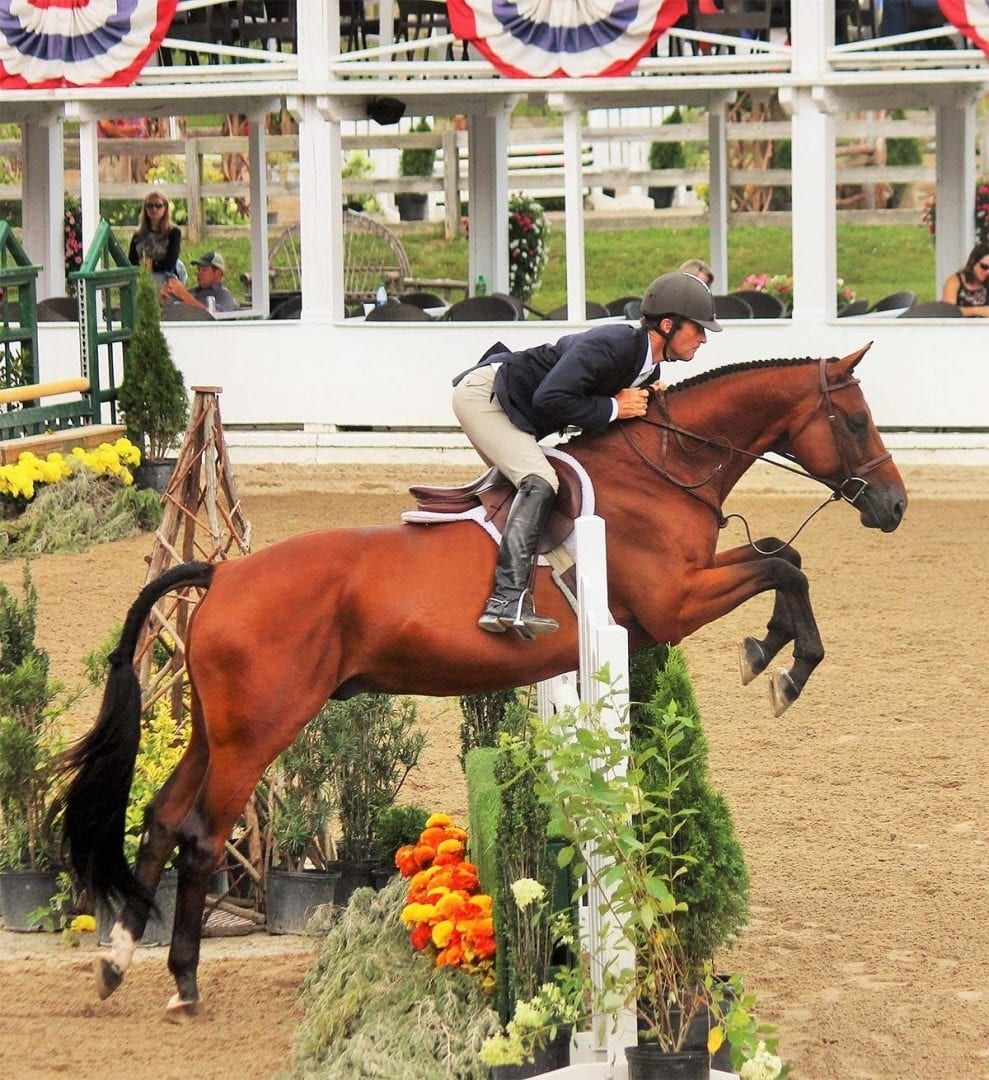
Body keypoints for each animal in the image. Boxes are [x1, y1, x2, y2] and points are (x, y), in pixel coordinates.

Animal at [56, 343, 902, 1010]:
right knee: (202, 836)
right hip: (258, 731)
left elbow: (781, 556)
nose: (892, 505)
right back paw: (183, 982)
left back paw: (117, 963)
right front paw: (783, 663)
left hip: (213, 727)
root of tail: (223, 575)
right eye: (855, 422)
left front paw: (773, 652)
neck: (663, 473)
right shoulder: (671, 604)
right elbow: (780, 566)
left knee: (162, 817)